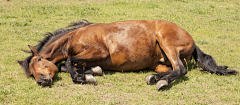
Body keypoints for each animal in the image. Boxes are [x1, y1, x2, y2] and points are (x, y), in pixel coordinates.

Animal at [17, 19, 237, 90]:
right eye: (32, 71)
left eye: (39, 60)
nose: (41, 80)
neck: (76, 36)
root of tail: (190, 37)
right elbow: (66, 64)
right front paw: (91, 73)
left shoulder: (98, 51)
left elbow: (69, 61)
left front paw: (82, 78)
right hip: (159, 61)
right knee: (171, 70)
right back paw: (155, 78)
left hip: (167, 43)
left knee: (181, 69)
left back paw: (161, 82)